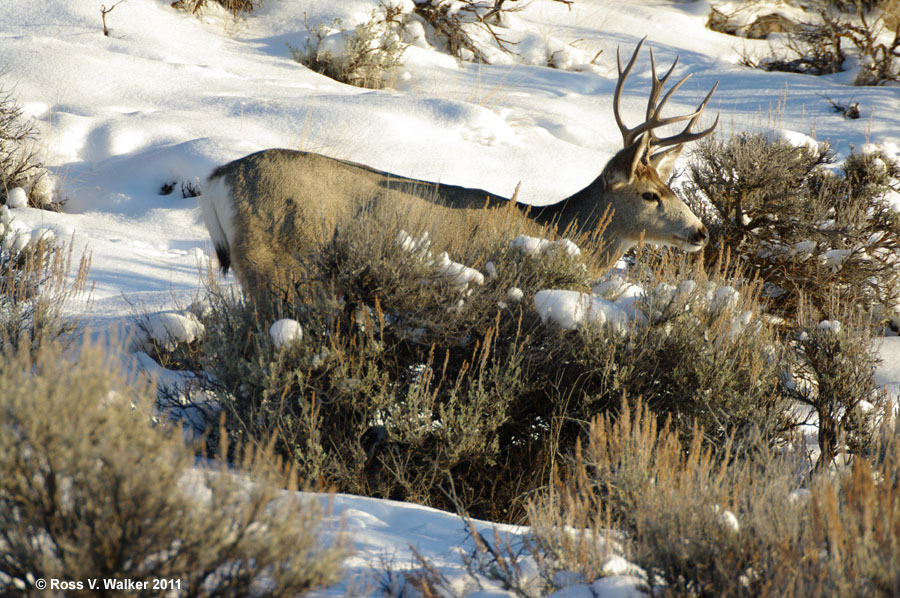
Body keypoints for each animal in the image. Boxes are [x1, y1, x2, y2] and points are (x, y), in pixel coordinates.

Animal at [199, 39, 716, 304]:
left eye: (668, 185)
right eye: (651, 195)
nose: (701, 232)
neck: (553, 227)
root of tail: (216, 180)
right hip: (274, 265)